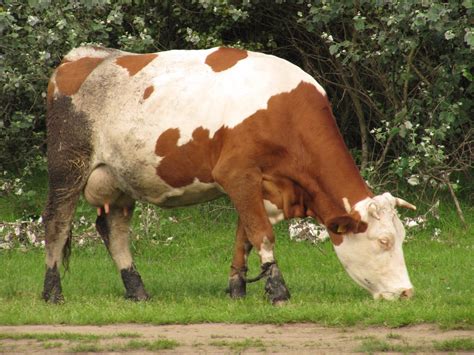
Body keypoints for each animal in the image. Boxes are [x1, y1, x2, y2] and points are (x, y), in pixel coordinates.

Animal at [43, 46, 414, 304]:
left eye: (402, 238)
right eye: (384, 241)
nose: (407, 292)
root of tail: (79, 57)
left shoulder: (257, 186)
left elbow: (244, 237)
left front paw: (237, 288)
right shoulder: (237, 174)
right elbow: (263, 234)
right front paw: (278, 290)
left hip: (119, 179)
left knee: (114, 230)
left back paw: (137, 290)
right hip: (67, 167)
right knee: (56, 224)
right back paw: (53, 293)